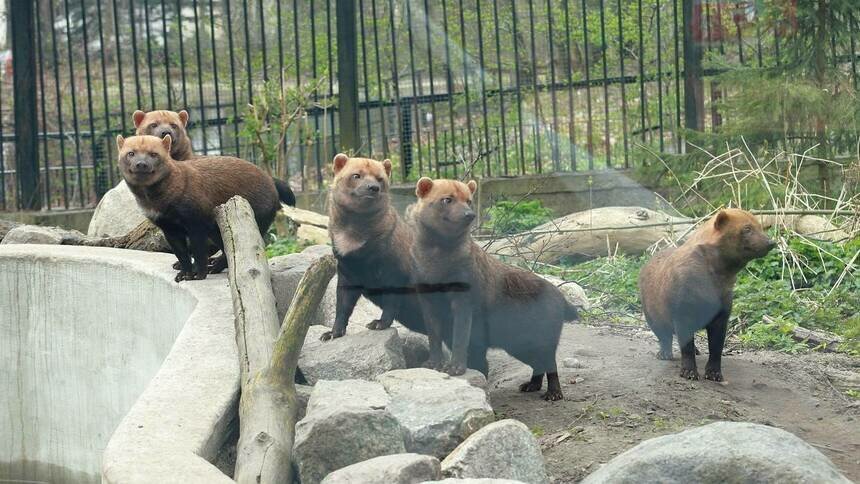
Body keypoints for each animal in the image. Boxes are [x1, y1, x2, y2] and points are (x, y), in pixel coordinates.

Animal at [114, 134, 280, 282]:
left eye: (154, 153)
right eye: (131, 153)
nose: (141, 164)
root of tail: (273, 185)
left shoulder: (196, 222)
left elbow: (198, 251)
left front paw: (197, 275)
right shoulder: (169, 228)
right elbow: (182, 254)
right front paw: (183, 274)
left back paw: (214, 267)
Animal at [320, 154, 428, 340]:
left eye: (380, 178)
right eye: (356, 175)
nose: (373, 187)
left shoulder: (395, 266)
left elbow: (392, 298)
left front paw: (378, 323)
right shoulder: (347, 269)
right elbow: (343, 303)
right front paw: (331, 333)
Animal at [410, 178, 576, 400]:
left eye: (469, 200)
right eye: (447, 199)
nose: (469, 214)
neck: (437, 266)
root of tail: (562, 297)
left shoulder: (464, 299)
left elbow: (461, 336)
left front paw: (455, 368)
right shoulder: (426, 297)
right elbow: (433, 335)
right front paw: (432, 364)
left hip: (541, 337)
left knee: (550, 361)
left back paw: (553, 393)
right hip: (518, 343)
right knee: (538, 362)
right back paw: (530, 385)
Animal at [640, 208, 776, 382]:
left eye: (760, 226)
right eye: (747, 228)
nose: (770, 242)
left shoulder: (723, 301)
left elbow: (717, 342)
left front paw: (714, 373)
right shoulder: (683, 299)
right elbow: (685, 338)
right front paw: (689, 371)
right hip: (651, 304)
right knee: (660, 329)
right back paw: (664, 352)